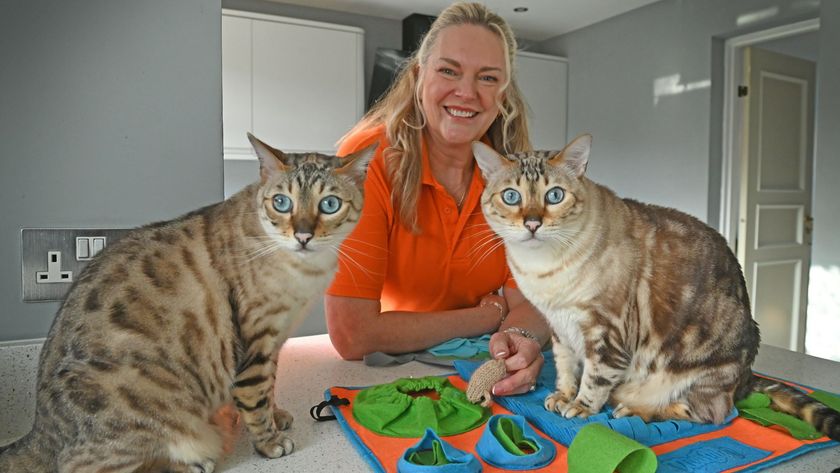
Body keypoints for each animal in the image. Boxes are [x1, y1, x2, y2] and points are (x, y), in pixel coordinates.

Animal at [0, 134, 374, 472]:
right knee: (84, 467)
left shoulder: (276, 340)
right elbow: (255, 396)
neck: (306, 270)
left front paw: (277, 415)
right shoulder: (256, 340)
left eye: (329, 205)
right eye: (282, 203)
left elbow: (270, 387)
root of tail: (40, 431)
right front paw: (269, 442)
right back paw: (194, 462)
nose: (303, 235)